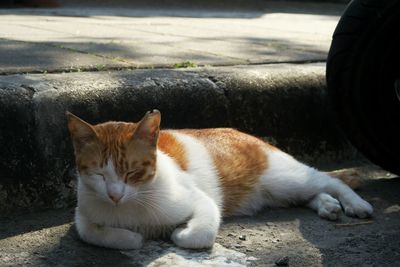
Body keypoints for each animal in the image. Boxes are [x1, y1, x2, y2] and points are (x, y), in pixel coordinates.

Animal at [67, 109, 374, 251]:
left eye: (132, 172)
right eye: (99, 173)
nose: (114, 196)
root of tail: (242, 132)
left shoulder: (199, 200)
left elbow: (199, 233)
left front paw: (178, 233)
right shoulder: (83, 212)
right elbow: (92, 231)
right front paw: (131, 237)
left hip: (284, 179)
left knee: (326, 180)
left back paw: (355, 204)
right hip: (280, 192)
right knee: (311, 193)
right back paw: (327, 206)